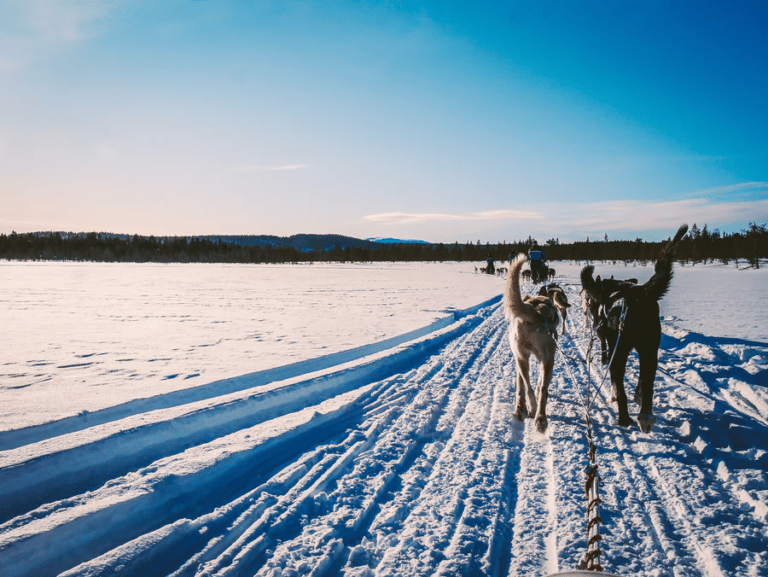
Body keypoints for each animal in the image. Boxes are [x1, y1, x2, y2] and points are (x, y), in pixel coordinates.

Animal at [504, 253, 560, 432]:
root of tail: (535, 310)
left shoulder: (520, 357)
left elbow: (521, 385)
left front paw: (521, 407)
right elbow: (537, 385)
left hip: (525, 357)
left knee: (529, 387)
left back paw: (529, 410)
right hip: (548, 359)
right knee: (542, 389)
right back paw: (540, 417)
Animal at [584, 225, 688, 432]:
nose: (590, 303)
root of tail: (639, 295)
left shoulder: (607, 341)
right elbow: (641, 383)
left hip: (621, 351)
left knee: (620, 384)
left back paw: (623, 417)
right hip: (649, 350)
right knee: (648, 384)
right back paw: (645, 414)